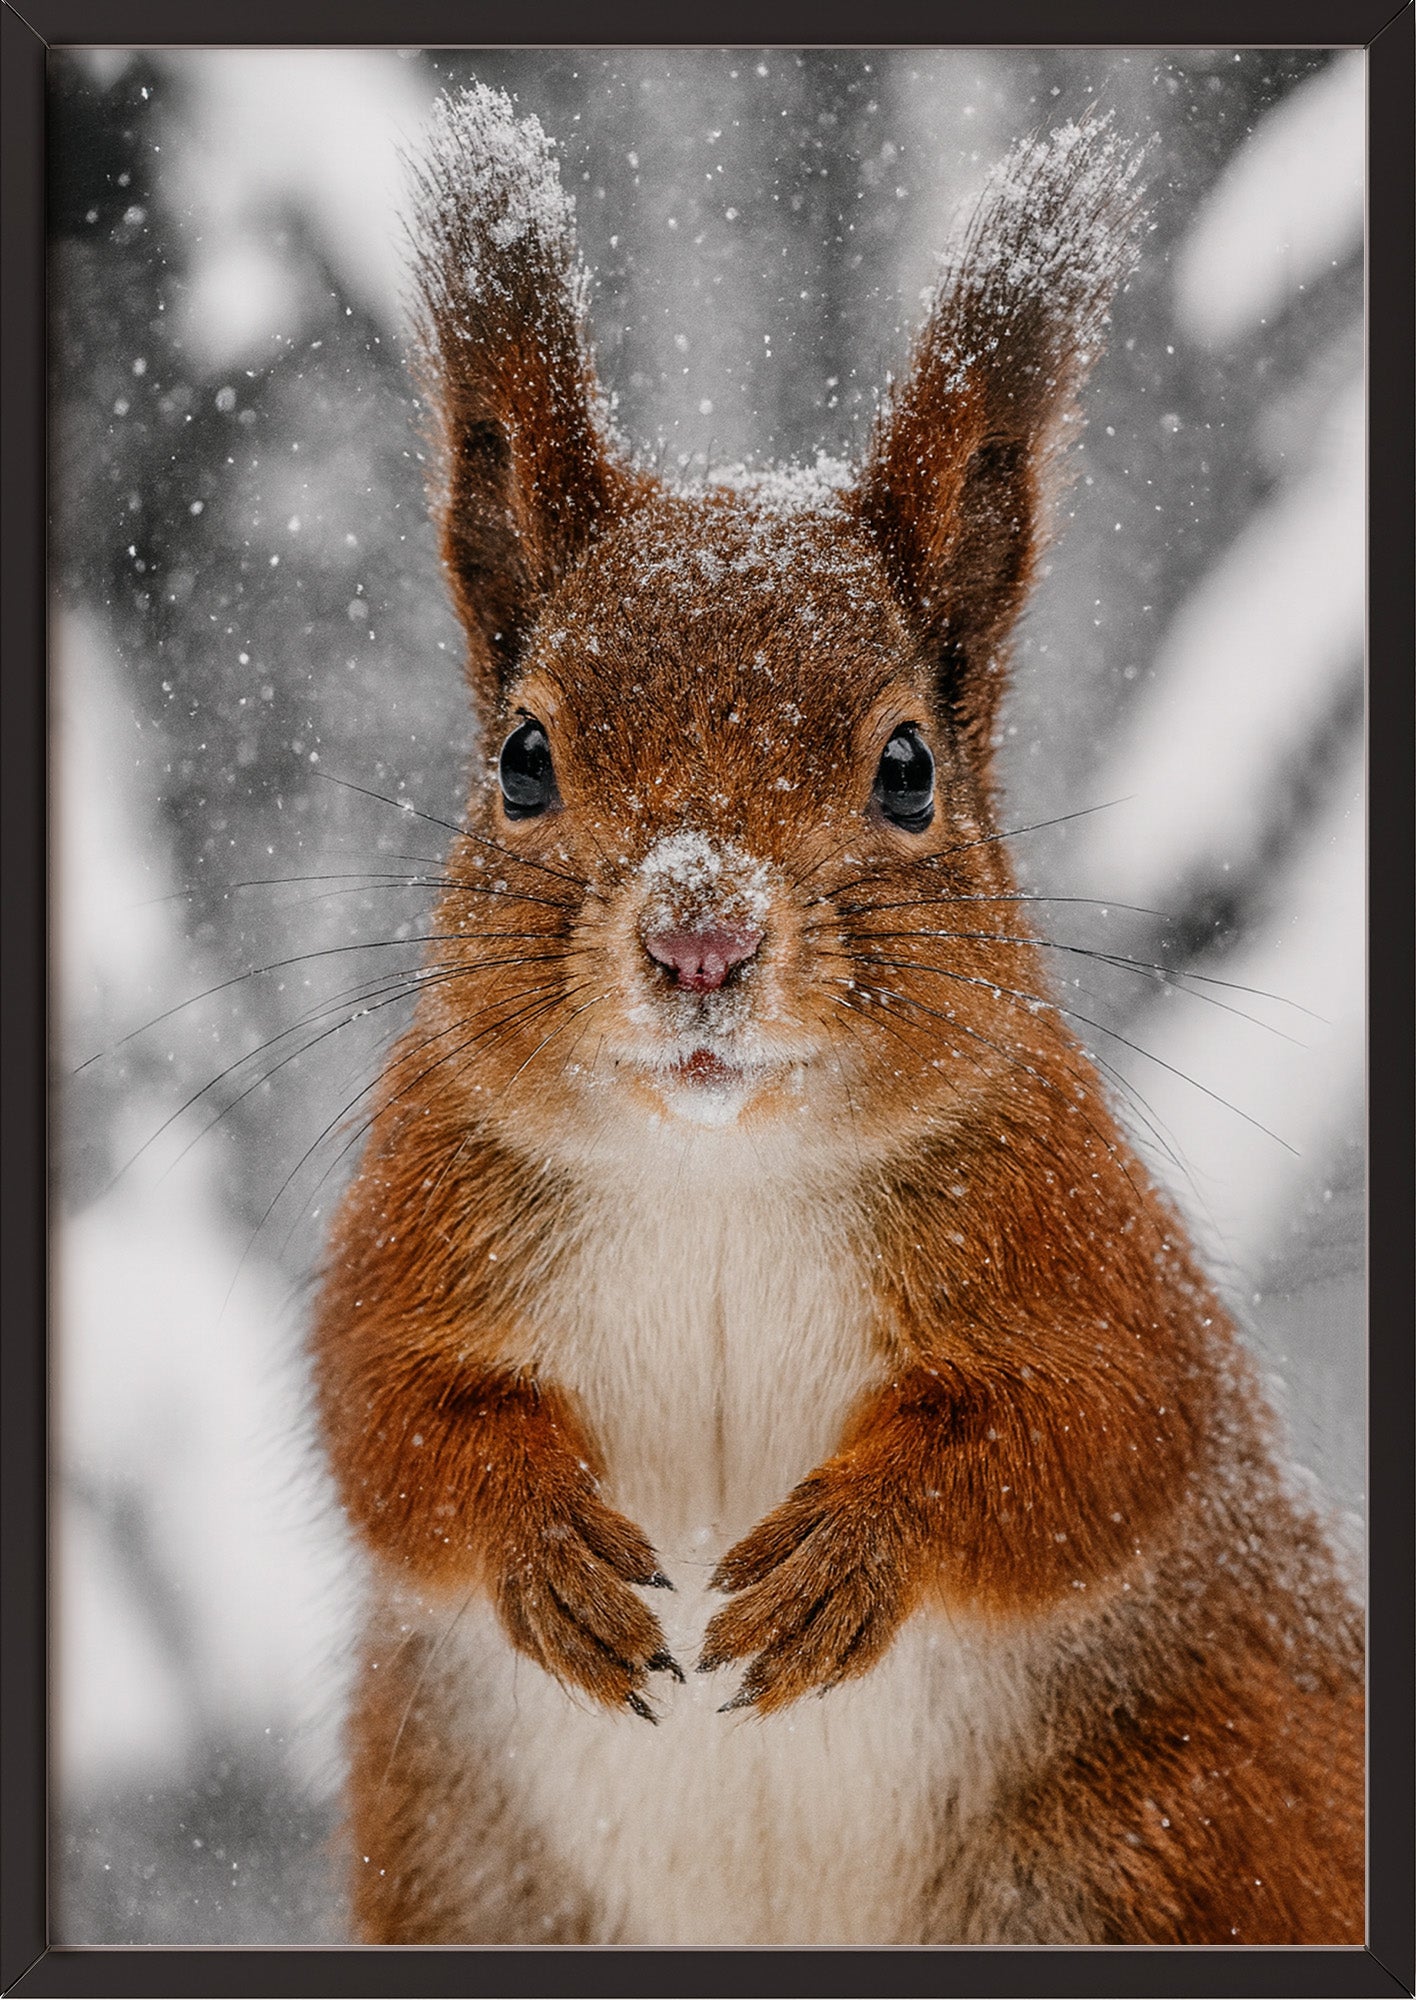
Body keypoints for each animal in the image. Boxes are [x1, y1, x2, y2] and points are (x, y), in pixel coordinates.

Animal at [311, 87, 1363, 1947]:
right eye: (522, 758)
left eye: (909, 769)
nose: (701, 938)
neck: (716, 1172)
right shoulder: (428, 1204)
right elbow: (388, 1414)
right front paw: (539, 1546)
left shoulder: (1071, 1226)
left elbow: (1101, 1435)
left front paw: (852, 1556)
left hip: (1173, 1840)